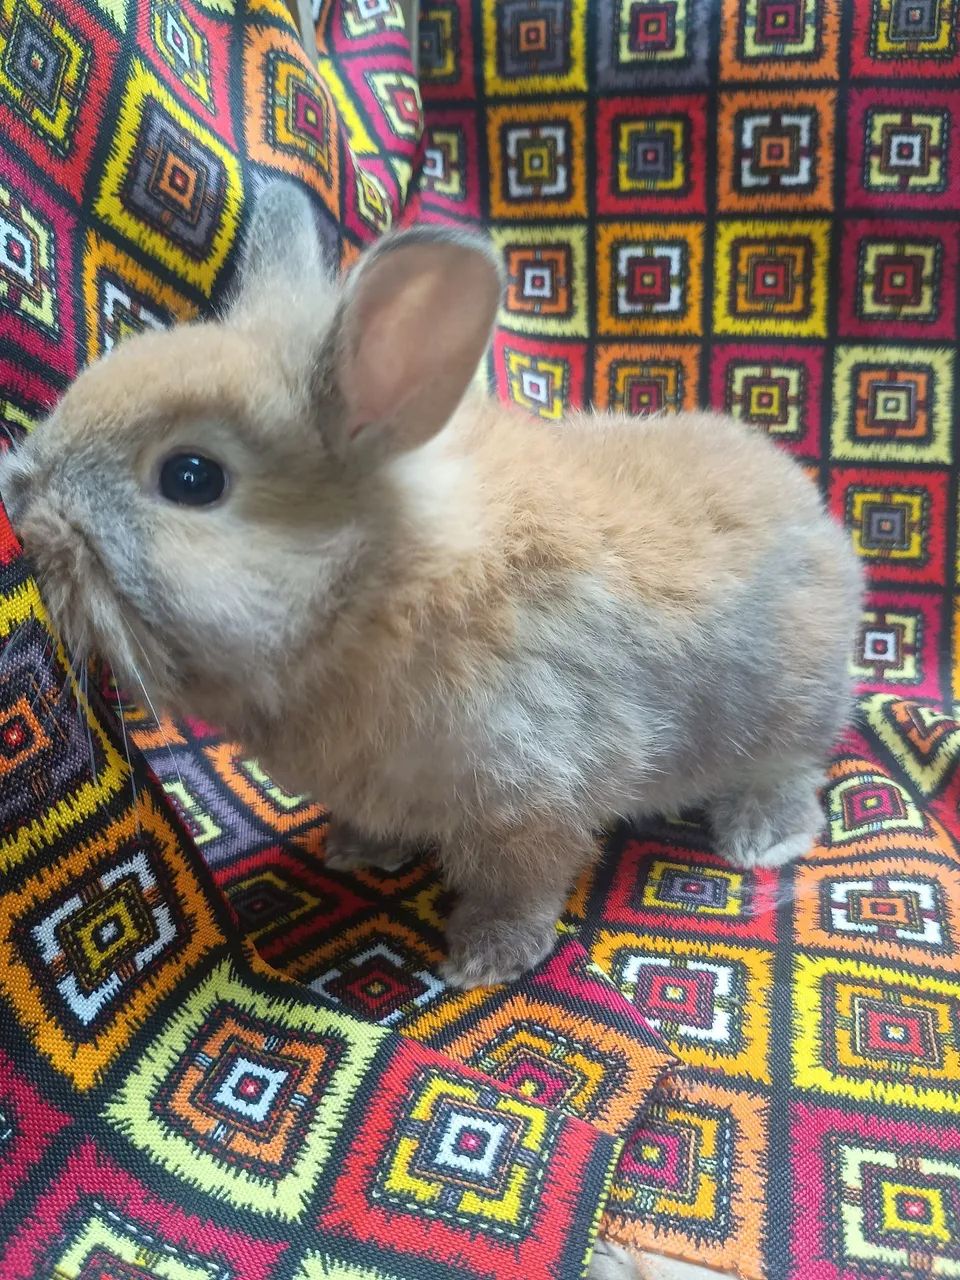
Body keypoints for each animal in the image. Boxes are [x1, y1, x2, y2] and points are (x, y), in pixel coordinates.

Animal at [0, 179, 862, 993]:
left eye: (190, 477)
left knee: (792, 772)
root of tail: (821, 520)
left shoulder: (535, 799)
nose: (20, 495)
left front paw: (485, 958)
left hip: (788, 717)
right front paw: (355, 851)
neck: (378, 595)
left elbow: (522, 885)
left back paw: (760, 838)